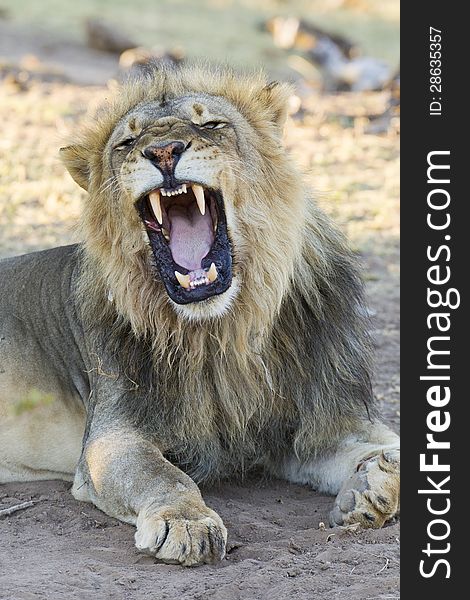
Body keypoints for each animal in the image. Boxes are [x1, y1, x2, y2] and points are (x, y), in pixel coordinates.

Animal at [0, 63, 400, 564]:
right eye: (127, 142)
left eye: (210, 124)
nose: (163, 151)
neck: (221, 331)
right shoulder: (112, 436)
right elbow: (165, 476)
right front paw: (185, 522)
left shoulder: (313, 425)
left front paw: (370, 487)